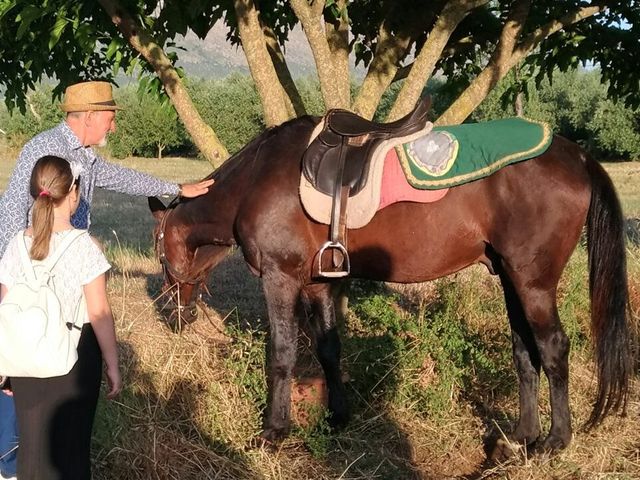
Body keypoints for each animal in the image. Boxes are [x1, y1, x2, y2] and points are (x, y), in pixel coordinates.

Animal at [148, 115, 632, 454]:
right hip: (511, 279)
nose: (173, 315)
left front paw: (273, 432)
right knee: (524, 352)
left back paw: (555, 441)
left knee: (552, 348)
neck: (256, 180)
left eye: (159, 252)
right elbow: (329, 348)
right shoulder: (318, 282)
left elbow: (282, 355)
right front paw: (337, 417)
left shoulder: (279, 277)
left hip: (533, 283)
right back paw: (521, 436)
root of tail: (578, 157)